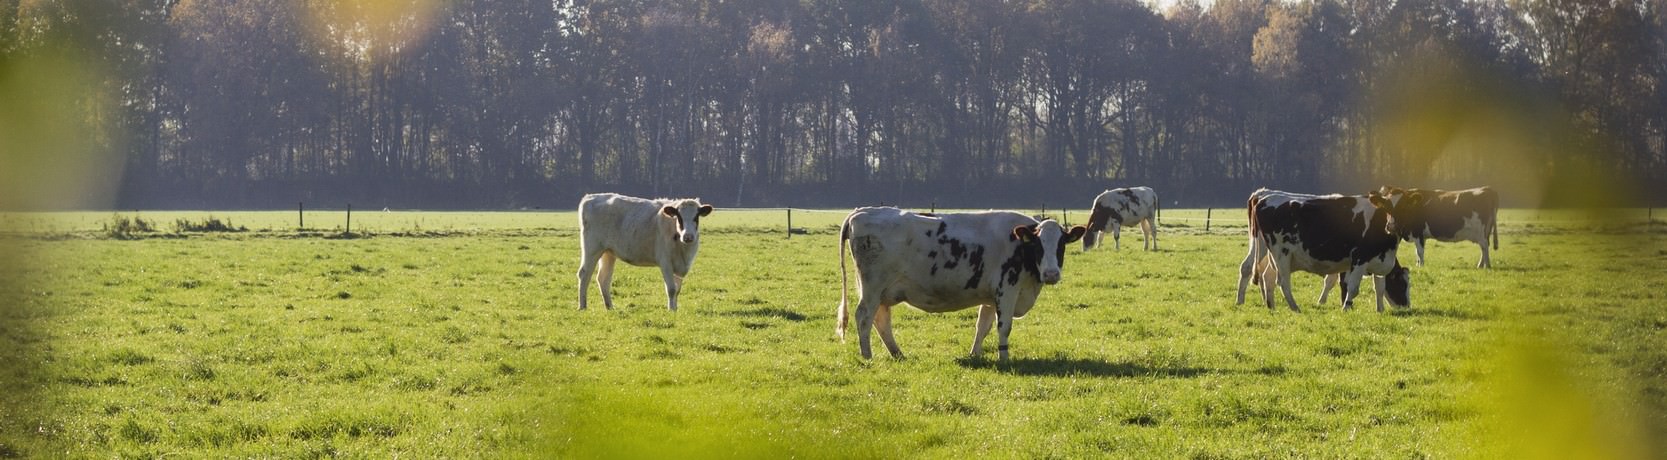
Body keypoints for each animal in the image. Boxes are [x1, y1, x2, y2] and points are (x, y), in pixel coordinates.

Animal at [576, 192, 713, 311]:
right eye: (679, 216)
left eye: (696, 217)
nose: (688, 236)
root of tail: (591, 197)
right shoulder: (665, 262)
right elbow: (671, 289)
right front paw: (671, 310)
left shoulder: (680, 264)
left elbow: (677, 290)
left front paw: (675, 309)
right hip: (592, 249)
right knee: (584, 274)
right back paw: (582, 306)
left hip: (608, 252)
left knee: (603, 278)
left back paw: (610, 307)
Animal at [833, 206, 1093, 361]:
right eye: (1038, 245)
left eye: (1061, 245)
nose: (1051, 274)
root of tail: (864, 211)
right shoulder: (1007, 289)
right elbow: (1004, 327)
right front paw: (1004, 359)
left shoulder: (990, 297)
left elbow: (983, 326)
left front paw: (975, 354)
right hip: (872, 286)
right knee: (864, 316)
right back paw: (867, 356)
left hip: (882, 291)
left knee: (881, 319)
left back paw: (898, 354)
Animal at [1233, 188, 1413, 311]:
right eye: (1401, 284)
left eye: (1404, 208)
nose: (1406, 307)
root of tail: (1264, 196)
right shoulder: (1357, 259)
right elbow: (1349, 286)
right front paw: (1344, 307)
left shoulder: (1377, 260)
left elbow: (1379, 287)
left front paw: (1379, 310)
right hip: (1280, 253)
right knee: (1280, 281)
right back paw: (1294, 308)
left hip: (1271, 253)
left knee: (1262, 274)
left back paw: (1268, 305)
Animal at [1373, 185, 1506, 268]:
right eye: (1386, 207)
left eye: (1402, 207)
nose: (1391, 226)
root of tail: (1488, 189)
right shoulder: (1421, 235)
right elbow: (1417, 252)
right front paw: (1418, 265)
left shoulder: (1418, 232)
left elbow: (1420, 251)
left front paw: (1421, 266)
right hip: (1485, 231)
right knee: (1484, 247)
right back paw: (1481, 265)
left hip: (1481, 231)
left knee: (1484, 246)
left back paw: (1486, 265)